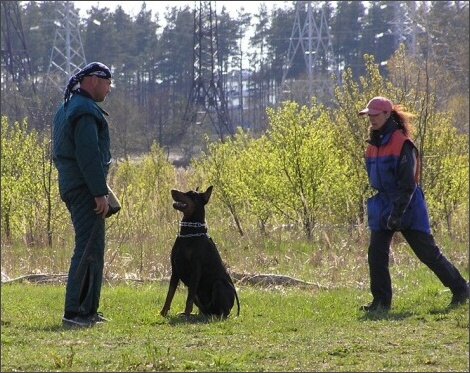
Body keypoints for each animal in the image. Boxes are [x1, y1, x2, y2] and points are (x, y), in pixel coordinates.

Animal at [162, 185, 242, 316]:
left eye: (190, 193)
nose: (172, 190)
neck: (189, 233)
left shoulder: (196, 270)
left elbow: (188, 298)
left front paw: (186, 315)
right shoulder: (175, 270)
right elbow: (170, 294)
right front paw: (163, 313)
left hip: (219, 285)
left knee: (223, 311)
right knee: (203, 309)